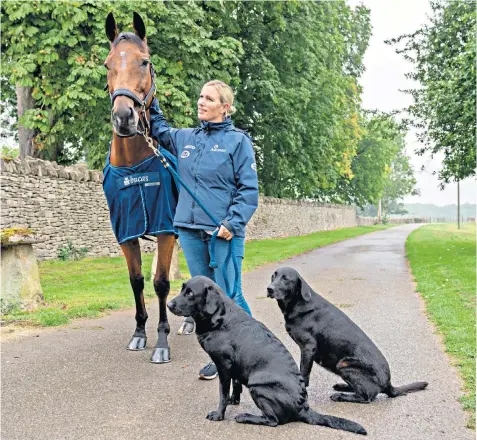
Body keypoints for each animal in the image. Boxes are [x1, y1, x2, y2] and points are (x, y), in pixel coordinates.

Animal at [166, 276, 364, 434]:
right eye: (182, 289)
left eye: (190, 294)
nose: (168, 304)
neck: (219, 318)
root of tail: (303, 407)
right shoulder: (235, 367)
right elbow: (235, 386)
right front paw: (234, 400)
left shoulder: (223, 365)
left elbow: (222, 393)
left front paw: (219, 414)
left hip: (258, 386)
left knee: (273, 421)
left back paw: (246, 417)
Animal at [268, 266, 428, 404]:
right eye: (273, 276)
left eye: (286, 279)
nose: (269, 289)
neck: (298, 303)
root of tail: (388, 384)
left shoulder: (308, 347)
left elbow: (304, 374)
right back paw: (343, 387)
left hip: (343, 365)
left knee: (367, 396)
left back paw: (341, 395)